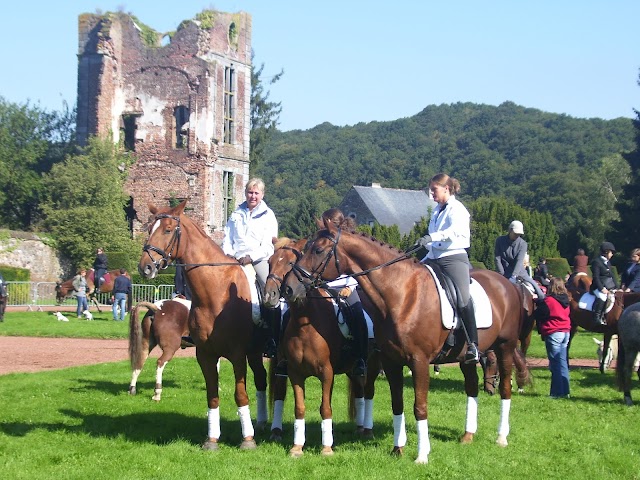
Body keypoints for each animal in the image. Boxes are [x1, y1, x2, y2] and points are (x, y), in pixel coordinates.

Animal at [139, 201, 268, 448]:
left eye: (168, 229)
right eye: (149, 228)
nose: (145, 268)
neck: (217, 292)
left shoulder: (238, 354)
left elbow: (240, 394)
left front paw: (247, 439)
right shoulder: (205, 354)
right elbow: (212, 396)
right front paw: (212, 439)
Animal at [262, 238, 380, 456]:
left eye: (291, 263)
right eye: (270, 262)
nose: (270, 295)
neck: (305, 324)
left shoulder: (327, 373)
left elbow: (325, 407)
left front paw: (326, 448)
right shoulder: (294, 372)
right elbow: (299, 408)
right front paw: (297, 447)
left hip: (374, 365)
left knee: (368, 392)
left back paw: (367, 430)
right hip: (351, 369)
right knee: (359, 392)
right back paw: (360, 428)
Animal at [284, 219, 524, 464]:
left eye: (318, 250)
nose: (289, 287)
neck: (402, 294)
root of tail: (508, 284)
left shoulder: (419, 362)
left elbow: (420, 407)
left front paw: (422, 455)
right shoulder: (392, 362)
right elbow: (397, 404)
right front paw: (397, 449)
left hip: (505, 347)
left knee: (505, 388)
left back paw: (501, 437)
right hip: (465, 358)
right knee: (472, 387)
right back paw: (468, 435)